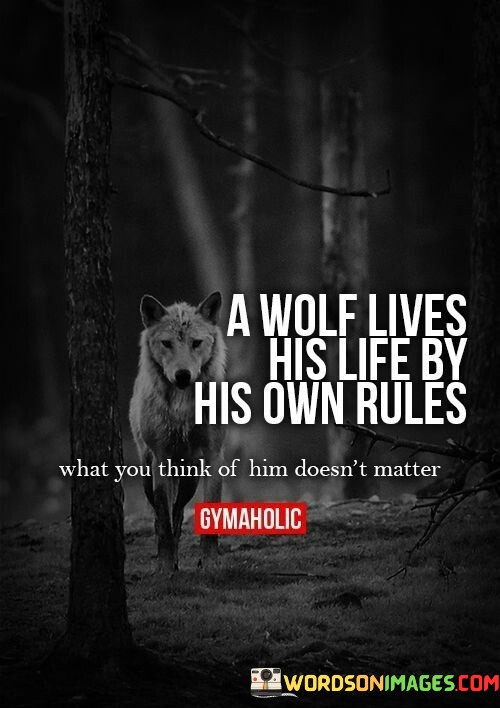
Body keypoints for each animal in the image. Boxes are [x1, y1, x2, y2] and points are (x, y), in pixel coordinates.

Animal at [129, 291, 226, 572]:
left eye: (196, 343)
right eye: (167, 343)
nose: (182, 375)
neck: (183, 408)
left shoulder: (214, 455)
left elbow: (210, 511)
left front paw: (210, 562)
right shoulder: (161, 458)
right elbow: (163, 517)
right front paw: (164, 564)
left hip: (190, 476)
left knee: (179, 510)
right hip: (147, 473)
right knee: (161, 513)